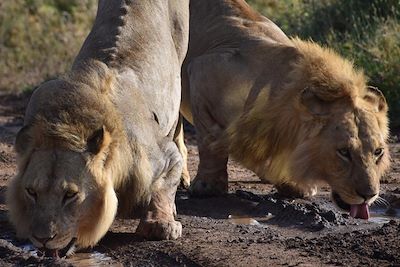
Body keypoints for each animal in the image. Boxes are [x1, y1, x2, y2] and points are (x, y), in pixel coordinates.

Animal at [5, 0, 189, 260]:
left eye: (70, 195)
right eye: (31, 192)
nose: (42, 239)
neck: (67, 127)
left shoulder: (164, 155)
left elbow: (163, 186)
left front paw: (160, 224)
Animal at [177, 0, 390, 220]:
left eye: (378, 152)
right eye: (344, 152)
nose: (369, 195)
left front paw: (291, 183)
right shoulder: (200, 71)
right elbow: (210, 142)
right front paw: (208, 186)